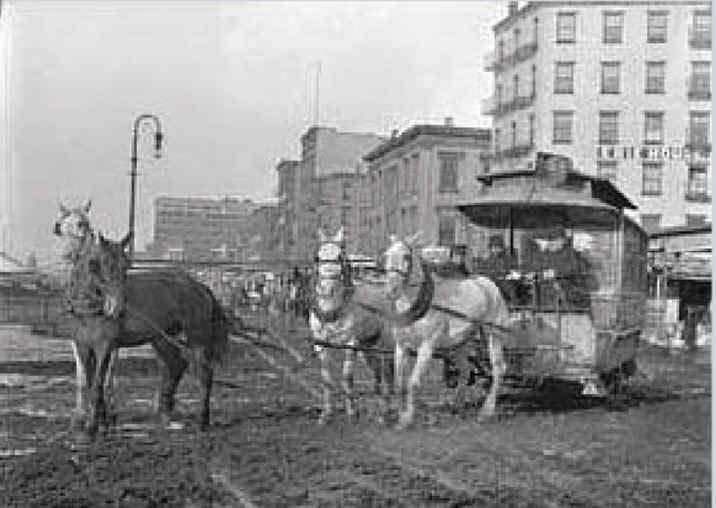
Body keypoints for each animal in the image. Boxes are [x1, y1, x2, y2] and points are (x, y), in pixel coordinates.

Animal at [56, 202, 229, 436]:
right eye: (95, 264)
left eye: (126, 265)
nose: (116, 308)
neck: (88, 306)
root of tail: (200, 285)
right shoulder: (82, 344)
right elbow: (86, 382)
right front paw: (95, 422)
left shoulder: (105, 345)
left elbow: (99, 382)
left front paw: (94, 426)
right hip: (162, 338)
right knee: (175, 365)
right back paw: (165, 414)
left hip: (197, 337)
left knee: (204, 371)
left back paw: (201, 420)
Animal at [310, 228, 398, 422]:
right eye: (318, 257)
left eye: (340, 256)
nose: (327, 289)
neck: (332, 311)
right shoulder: (321, 345)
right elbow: (326, 379)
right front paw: (326, 414)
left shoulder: (351, 344)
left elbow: (347, 376)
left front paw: (352, 412)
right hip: (368, 347)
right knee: (377, 372)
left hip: (384, 344)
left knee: (387, 373)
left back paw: (386, 410)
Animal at [384, 234, 512, 428]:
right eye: (386, 255)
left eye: (406, 256)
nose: (391, 290)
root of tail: (490, 284)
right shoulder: (401, 346)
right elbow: (398, 384)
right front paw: (400, 417)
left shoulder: (427, 347)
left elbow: (413, 382)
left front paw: (408, 418)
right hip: (461, 342)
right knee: (466, 370)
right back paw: (457, 406)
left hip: (494, 334)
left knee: (498, 368)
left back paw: (486, 412)